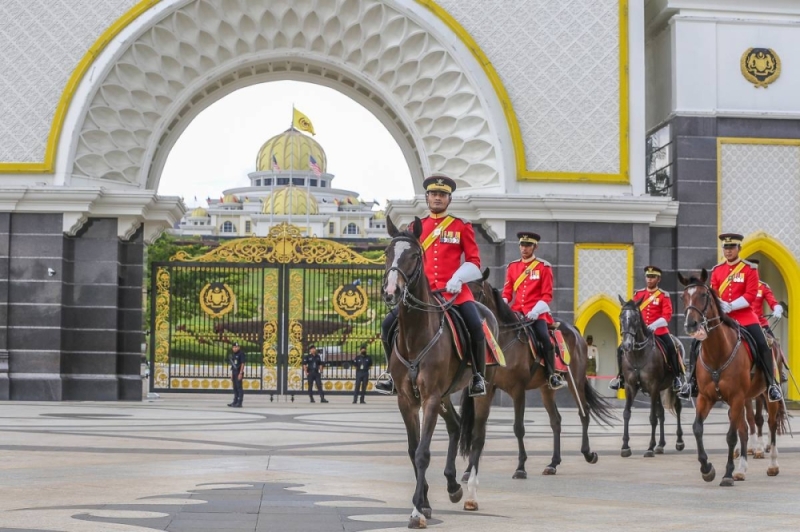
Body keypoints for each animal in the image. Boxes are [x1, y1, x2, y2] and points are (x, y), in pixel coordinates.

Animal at [380, 217, 494, 528]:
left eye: (414, 255)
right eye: (387, 252)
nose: (391, 292)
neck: (415, 334)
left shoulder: (430, 397)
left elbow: (422, 453)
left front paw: (417, 511)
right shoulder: (407, 399)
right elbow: (412, 449)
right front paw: (425, 503)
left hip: (482, 391)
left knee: (477, 436)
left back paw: (470, 494)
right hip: (445, 396)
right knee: (455, 426)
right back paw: (453, 486)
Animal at [466, 270, 616, 478]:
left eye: (478, 292)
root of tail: (574, 330)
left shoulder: (518, 389)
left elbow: (518, 428)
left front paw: (521, 467)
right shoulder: (487, 389)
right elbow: (477, 430)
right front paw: (468, 471)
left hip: (575, 380)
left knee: (584, 412)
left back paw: (588, 453)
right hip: (547, 388)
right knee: (556, 420)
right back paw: (553, 463)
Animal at [616, 300, 684, 458]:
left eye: (635, 319)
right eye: (621, 317)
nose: (626, 345)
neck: (638, 354)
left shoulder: (653, 387)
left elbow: (652, 418)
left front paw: (650, 447)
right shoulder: (630, 387)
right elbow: (627, 413)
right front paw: (625, 446)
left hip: (672, 386)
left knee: (677, 408)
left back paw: (678, 441)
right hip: (659, 390)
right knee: (662, 413)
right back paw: (661, 445)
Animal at [680, 270, 784, 486]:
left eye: (704, 295)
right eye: (683, 297)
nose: (691, 324)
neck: (718, 352)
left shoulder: (736, 397)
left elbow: (730, 436)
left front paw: (727, 473)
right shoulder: (706, 397)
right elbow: (697, 428)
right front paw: (707, 468)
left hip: (766, 395)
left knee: (770, 424)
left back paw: (772, 464)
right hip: (744, 398)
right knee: (745, 427)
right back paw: (742, 469)